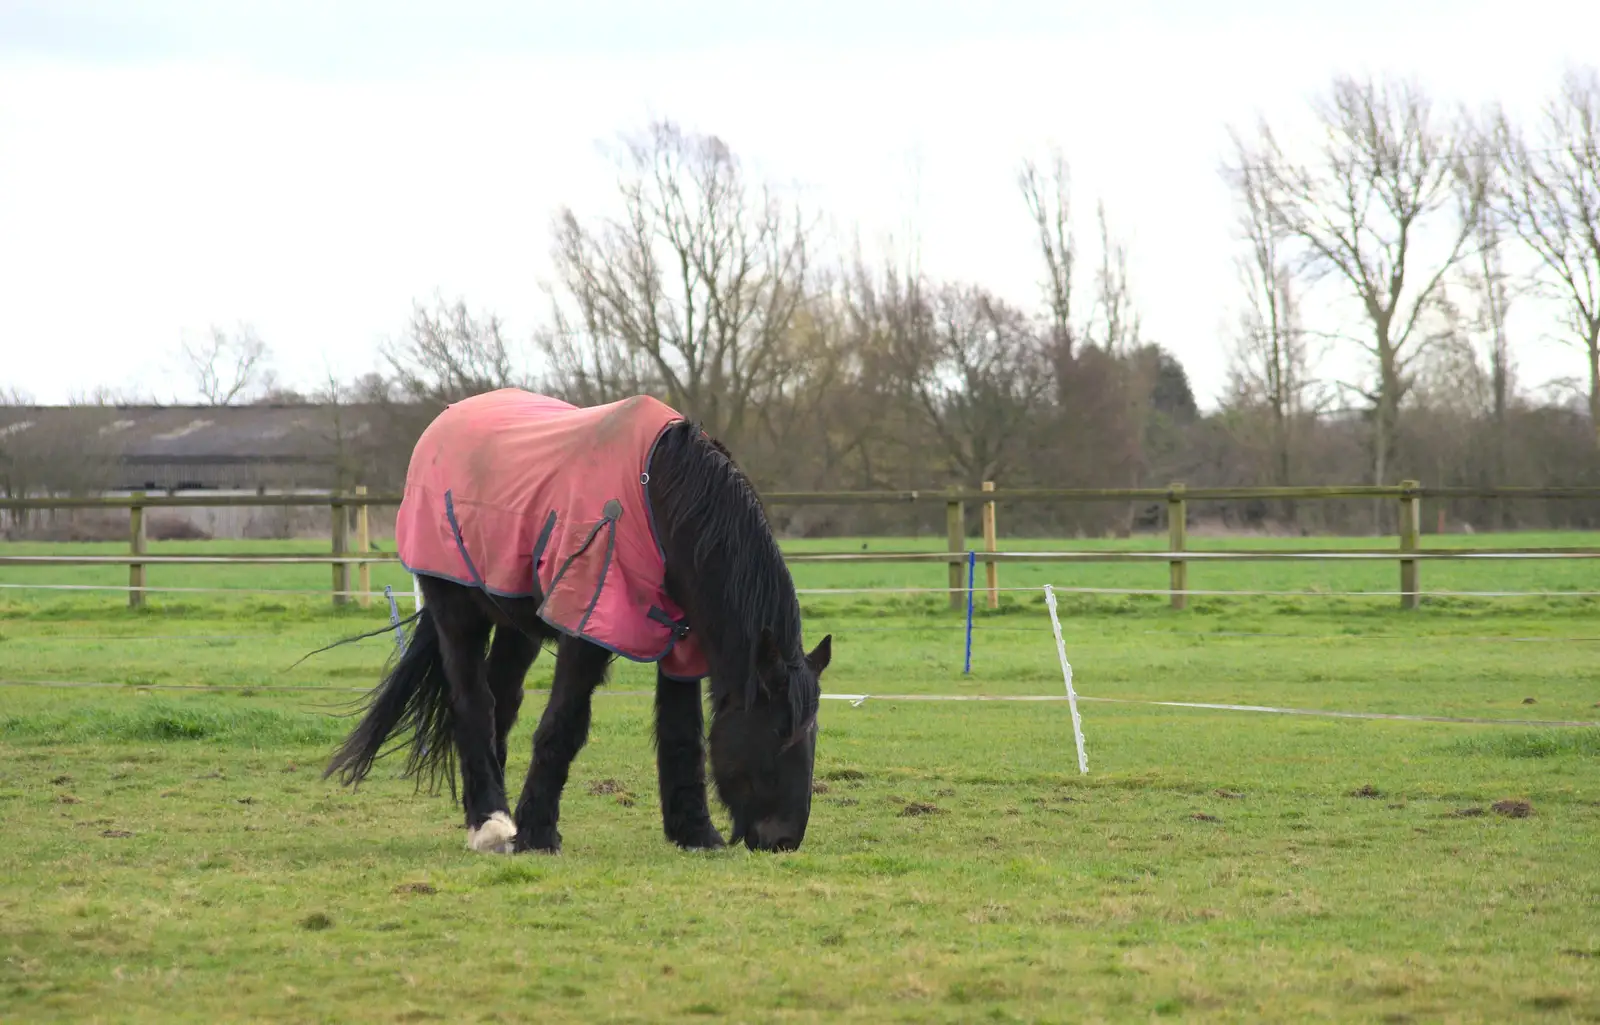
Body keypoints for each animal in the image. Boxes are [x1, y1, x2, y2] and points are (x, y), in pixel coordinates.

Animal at [320, 386, 832, 850]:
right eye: (778, 733)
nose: (784, 840)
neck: (659, 496)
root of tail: (442, 424)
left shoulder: (681, 642)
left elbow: (682, 732)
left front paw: (695, 833)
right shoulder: (588, 628)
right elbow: (563, 724)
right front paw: (538, 835)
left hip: (515, 623)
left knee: (501, 700)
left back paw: (492, 816)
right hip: (456, 609)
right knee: (472, 702)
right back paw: (490, 822)